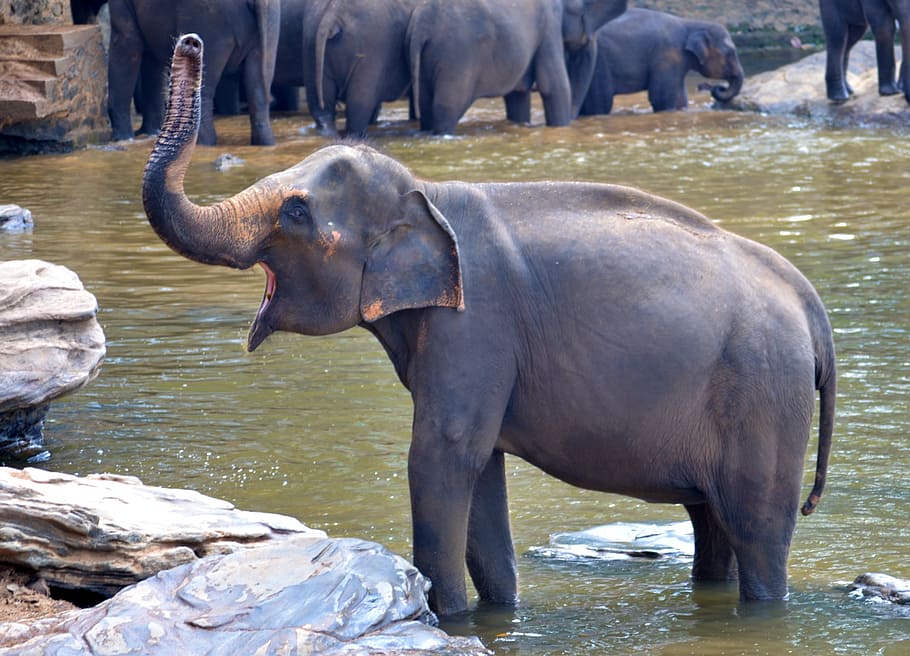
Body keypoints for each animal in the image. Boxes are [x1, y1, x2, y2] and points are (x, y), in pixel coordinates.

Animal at [107, 0, 280, 144]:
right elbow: (151, 59)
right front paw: (150, 133)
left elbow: (127, 45)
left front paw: (122, 139)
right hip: (269, 24)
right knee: (258, 86)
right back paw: (265, 143)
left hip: (209, 20)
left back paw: (201, 143)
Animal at [144, 36, 840, 616]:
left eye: (294, 212)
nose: (190, 42)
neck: (427, 192)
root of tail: (810, 303)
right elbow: (482, 472)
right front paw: (498, 612)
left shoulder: (474, 325)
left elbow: (442, 454)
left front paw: (446, 616)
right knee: (711, 525)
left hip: (764, 397)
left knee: (757, 531)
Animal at [406, 0, 628, 134]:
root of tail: (422, 23)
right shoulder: (549, 26)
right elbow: (555, 86)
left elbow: (518, 95)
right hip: (456, 57)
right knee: (446, 107)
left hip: (428, 58)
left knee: (426, 107)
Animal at [580, 9, 744, 114]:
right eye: (730, 53)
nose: (718, 87)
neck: (691, 24)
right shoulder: (667, 56)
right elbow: (661, 97)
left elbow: (680, 98)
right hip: (598, 63)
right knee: (601, 102)